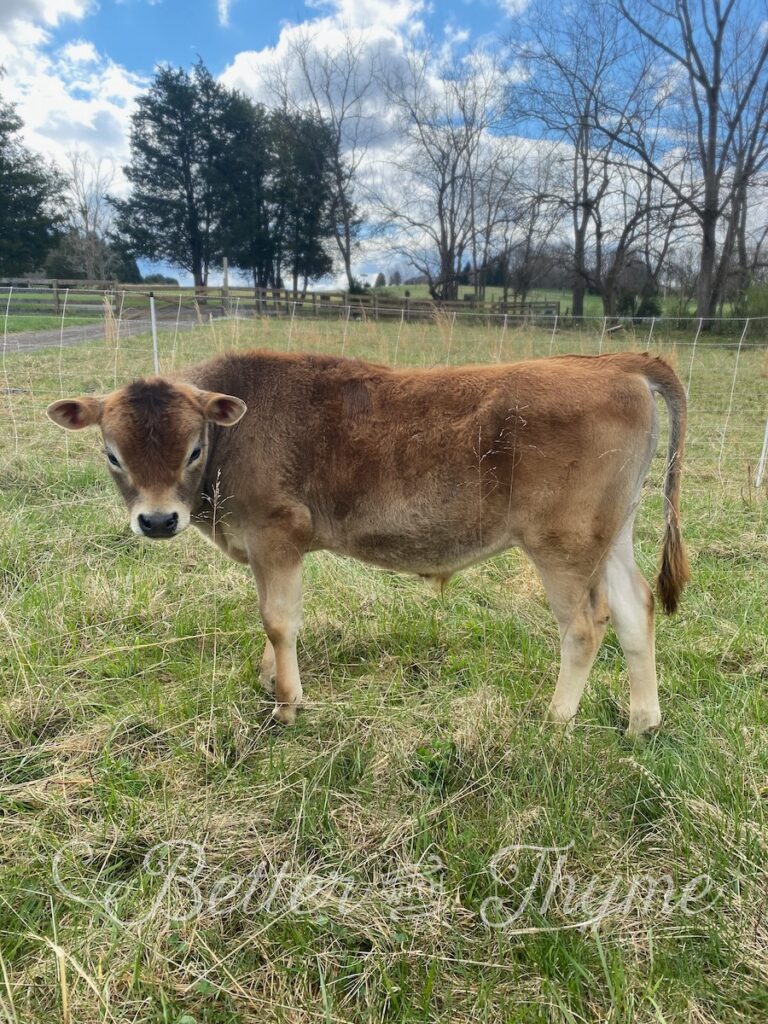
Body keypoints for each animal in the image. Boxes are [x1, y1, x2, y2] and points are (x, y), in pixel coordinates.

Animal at [48, 352, 688, 737]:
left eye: (193, 450)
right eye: (112, 454)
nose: (158, 521)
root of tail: (616, 363)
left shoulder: (276, 532)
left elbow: (278, 620)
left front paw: (287, 703)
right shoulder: (266, 546)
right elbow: (273, 617)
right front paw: (270, 678)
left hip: (562, 543)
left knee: (585, 625)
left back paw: (555, 720)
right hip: (612, 533)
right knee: (635, 608)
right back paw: (642, 722)